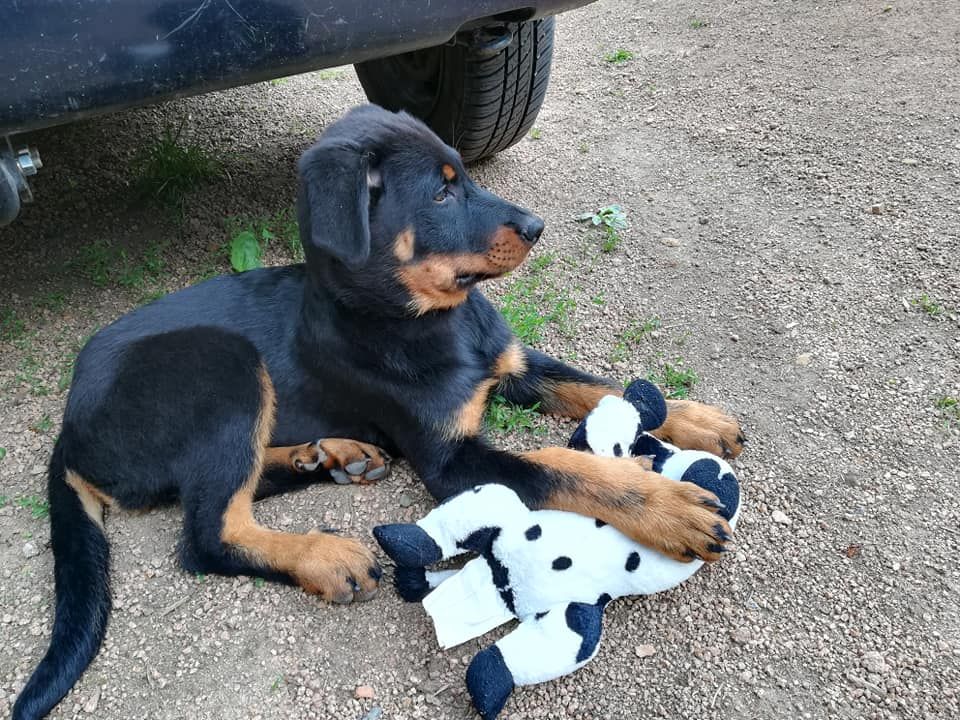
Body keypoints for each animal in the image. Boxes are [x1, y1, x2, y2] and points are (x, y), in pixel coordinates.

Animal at [13, 105, 744, 720]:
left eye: (465, 175)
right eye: (442, 193)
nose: (539, 228)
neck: (430, 321)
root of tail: (68, 428)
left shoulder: (514, 364)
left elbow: (599, 387)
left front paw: (694, 418)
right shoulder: (451, 458)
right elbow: (560, 464)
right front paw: (667, 506)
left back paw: (332, 456)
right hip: (223, 364)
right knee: (207, 534)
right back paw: (323, 555)